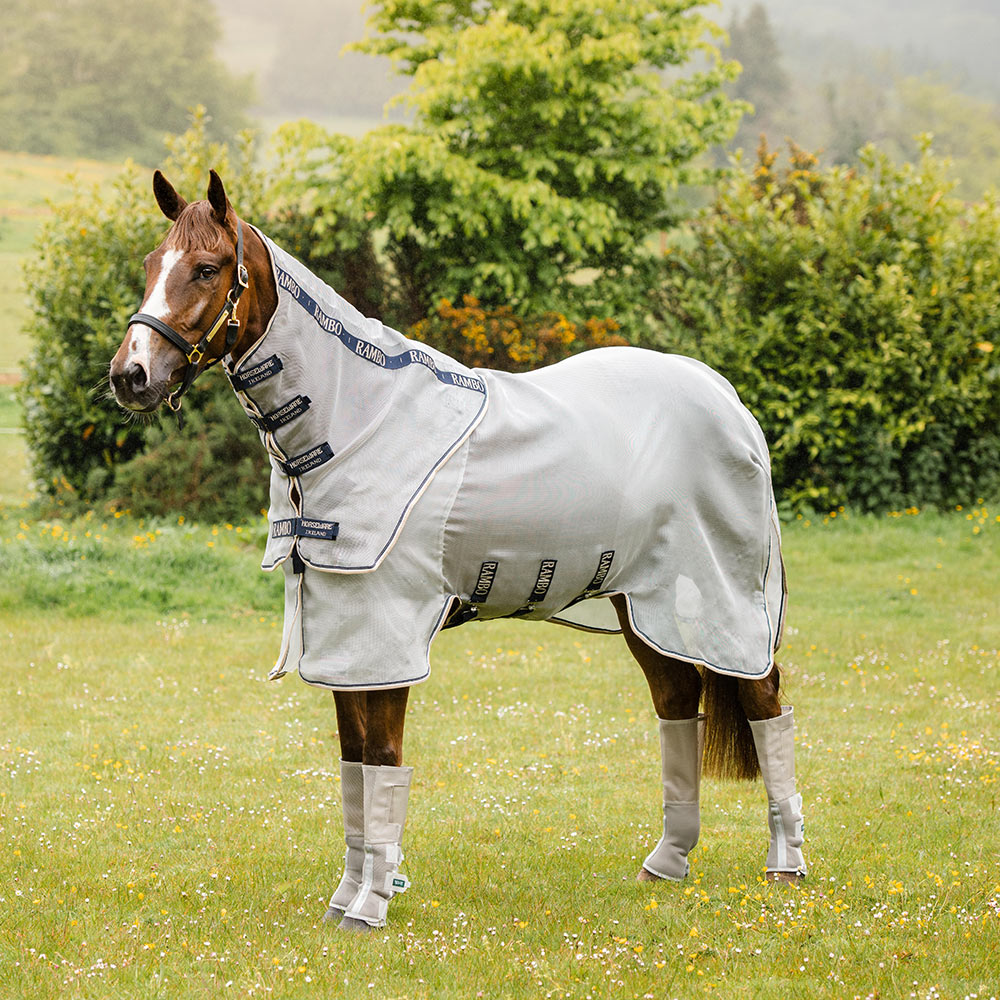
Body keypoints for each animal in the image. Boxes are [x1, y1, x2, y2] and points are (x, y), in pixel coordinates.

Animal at [109, 171, 806, 932]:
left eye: (206, 269)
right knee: (679, 702)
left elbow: (383, 760)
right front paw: (346, 898)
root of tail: (726, 398)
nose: (130, 375)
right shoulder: (344, 637)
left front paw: (370, 907)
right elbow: (354, 767)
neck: (359, 422)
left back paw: (786, 865)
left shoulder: (385, 633)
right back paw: (668, 863)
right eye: (151, 264)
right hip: (643, 604)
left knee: (765, 701)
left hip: (722, 597)